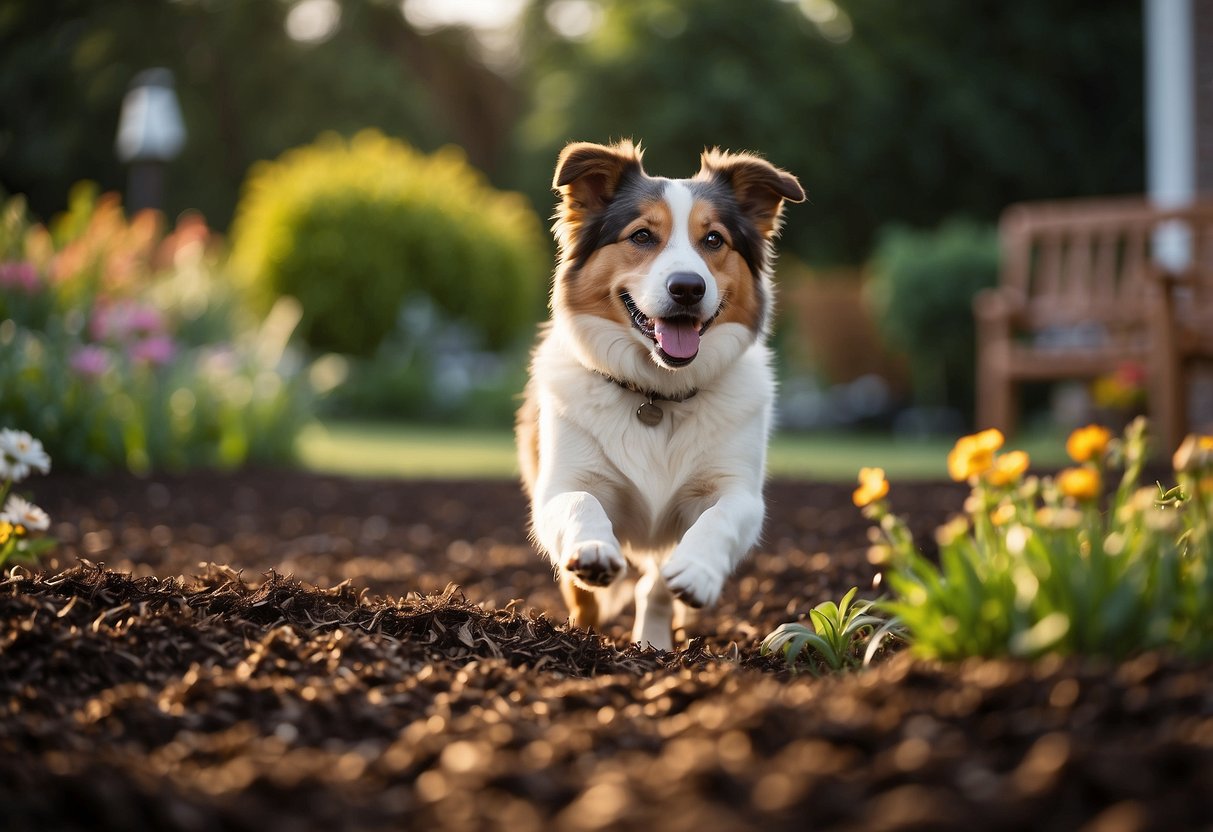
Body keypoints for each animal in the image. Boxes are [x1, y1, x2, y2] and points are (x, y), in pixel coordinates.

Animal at [514, 141, 805, 650]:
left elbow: (715, 523)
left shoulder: (739, 493)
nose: (687, 287)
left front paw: (695, 574)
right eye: (643, 236)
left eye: (714, 240)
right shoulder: (559, 487)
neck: (656, 394)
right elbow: (580, 502)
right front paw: (593, 550)